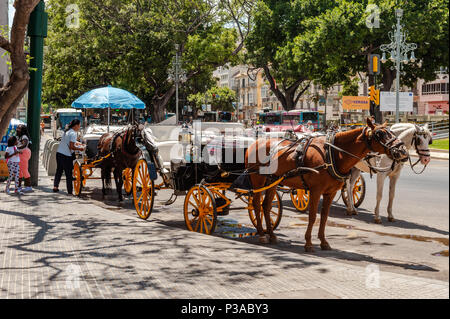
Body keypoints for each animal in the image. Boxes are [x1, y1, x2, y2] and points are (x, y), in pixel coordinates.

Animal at [246, 119, 408, 254]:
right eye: (380, 134)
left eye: (392, 131)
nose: (403, 151)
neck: (333, 154)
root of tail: (255, 143)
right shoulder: (315, 191)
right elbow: (312, 217)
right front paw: (308, 243)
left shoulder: (330, 193)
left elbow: (324, 217)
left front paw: (323, 242)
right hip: (257, 180)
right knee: (256, 204)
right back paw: (261, 234)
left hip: (272, 181)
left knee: (266, 206)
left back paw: (271, 234)